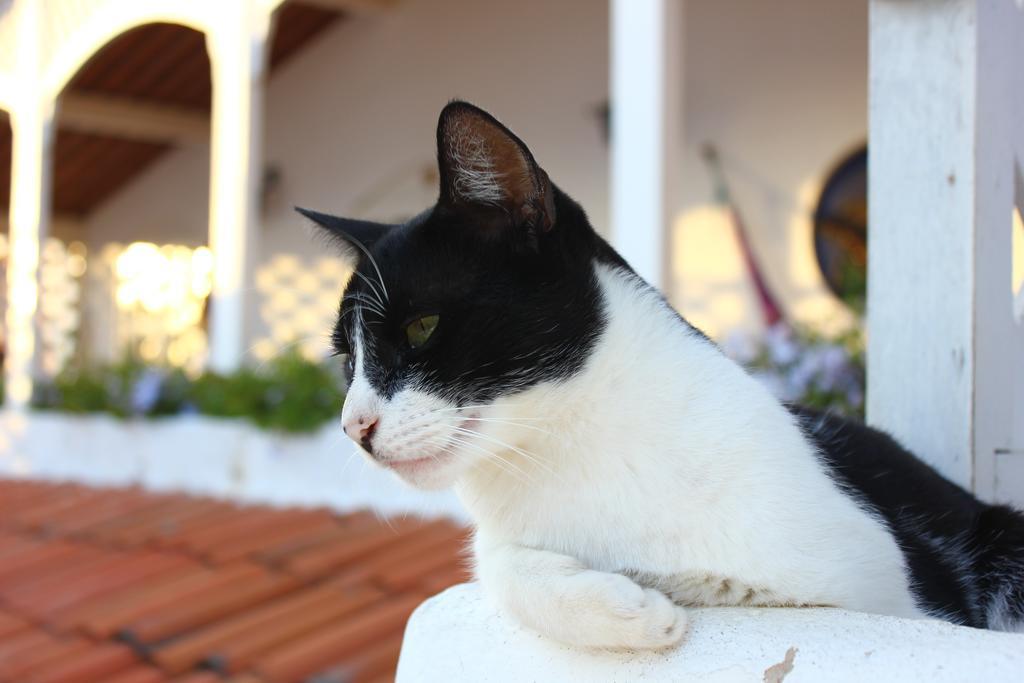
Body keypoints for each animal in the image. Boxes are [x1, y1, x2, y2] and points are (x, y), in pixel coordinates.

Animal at [299, 98, 1024, 651]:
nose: (354, 426)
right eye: (348, 359)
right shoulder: (508, 539)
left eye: (421, 328)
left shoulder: (881, 580)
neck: (569, 452)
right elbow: (497, 564)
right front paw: (630, 612)